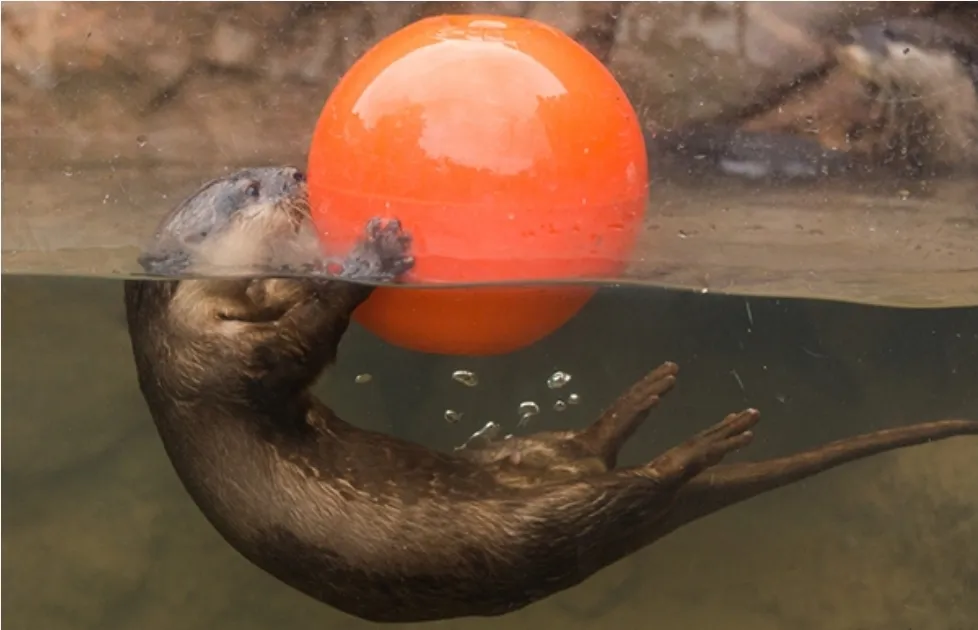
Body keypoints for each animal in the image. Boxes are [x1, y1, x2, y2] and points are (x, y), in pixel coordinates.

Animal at [124, 167, 978, 624]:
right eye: (251, 188)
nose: (298, 173)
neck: (184, 343)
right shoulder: (223, 367)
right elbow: (302, 343)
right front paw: (375, 252)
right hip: (536, 531)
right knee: (635, 489)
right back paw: (709, 442)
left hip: (529, 454)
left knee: (590, 447)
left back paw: (651, 394)